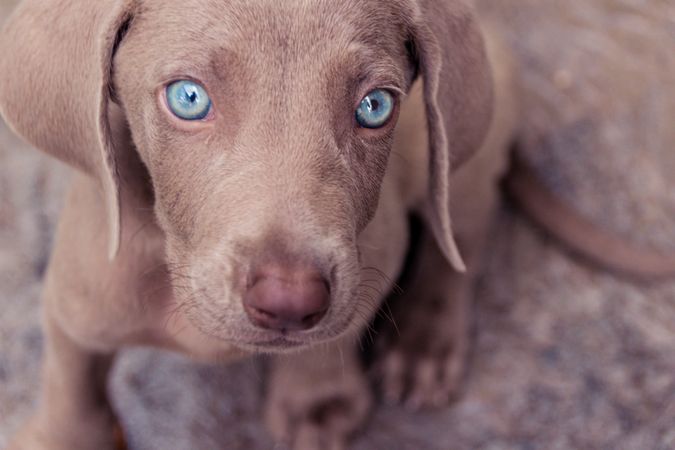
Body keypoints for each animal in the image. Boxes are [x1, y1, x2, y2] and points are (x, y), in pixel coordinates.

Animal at [0, 0, 510, 448]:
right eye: (188, 98)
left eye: (375, 106)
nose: (289, 302)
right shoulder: (77, 298)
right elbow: (72, 385)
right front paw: (61, 438)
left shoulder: (375, 257)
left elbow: (333, 336)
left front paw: (316, 400)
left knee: (461, 238)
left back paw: (424, 344)